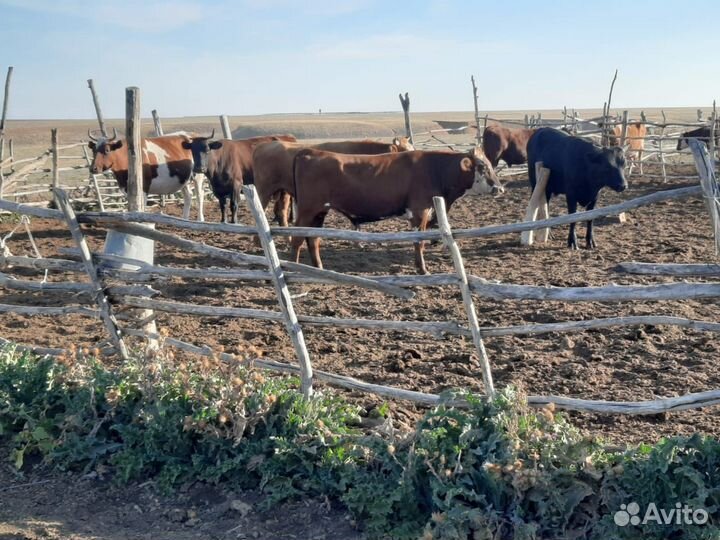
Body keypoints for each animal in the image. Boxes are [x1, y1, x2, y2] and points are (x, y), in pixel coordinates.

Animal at [290, 148, 503, 274]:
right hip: (308, 210)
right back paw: (293, 268)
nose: (500, 188)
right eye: (482, 166)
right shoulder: (419, 212)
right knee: (297, 238)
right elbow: (419, 242)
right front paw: (422, 269)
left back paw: (319, 268)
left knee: (313, 239)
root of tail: (311, 151)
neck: (435, 169)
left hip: (319, 213)